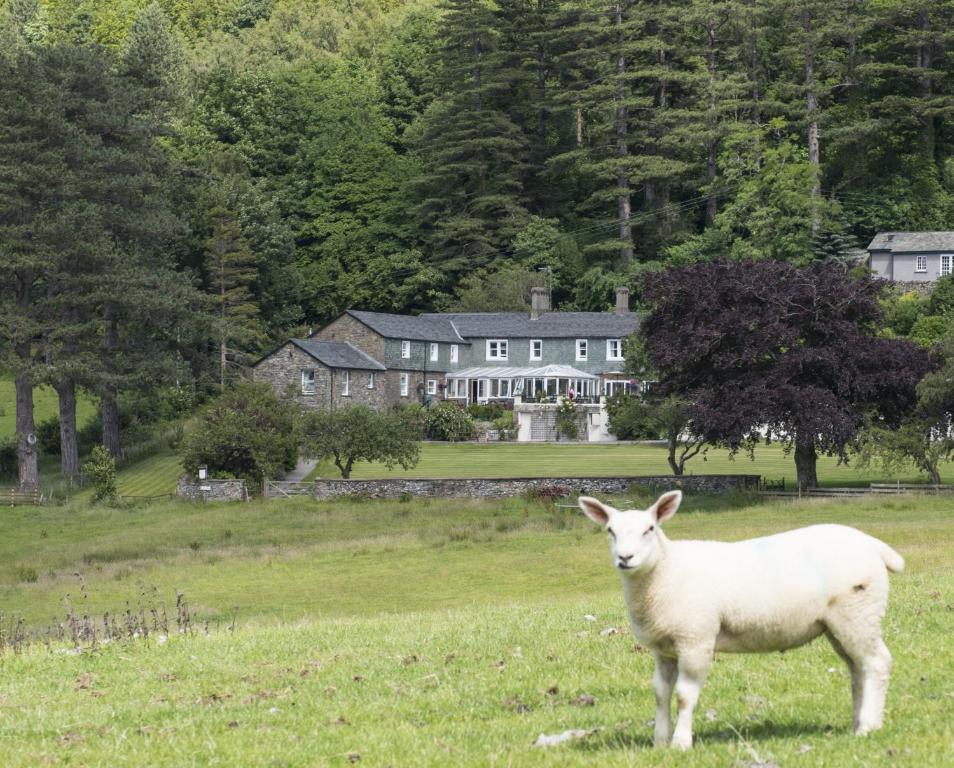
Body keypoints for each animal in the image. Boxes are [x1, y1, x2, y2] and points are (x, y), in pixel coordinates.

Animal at [576, 492, 904, 752]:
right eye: (610, 530)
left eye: (650, 529)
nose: (625, 558)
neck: (666, 570)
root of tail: (874, 545)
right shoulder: (664, 648)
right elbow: (660, 693)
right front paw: (659, 743)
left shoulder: (696, 639)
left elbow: (683, 695)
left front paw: (681, 743)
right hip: (839, 624)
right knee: (858, 669)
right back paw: (857, 723)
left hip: (859, 611)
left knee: (877, 662)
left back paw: (869, 728)